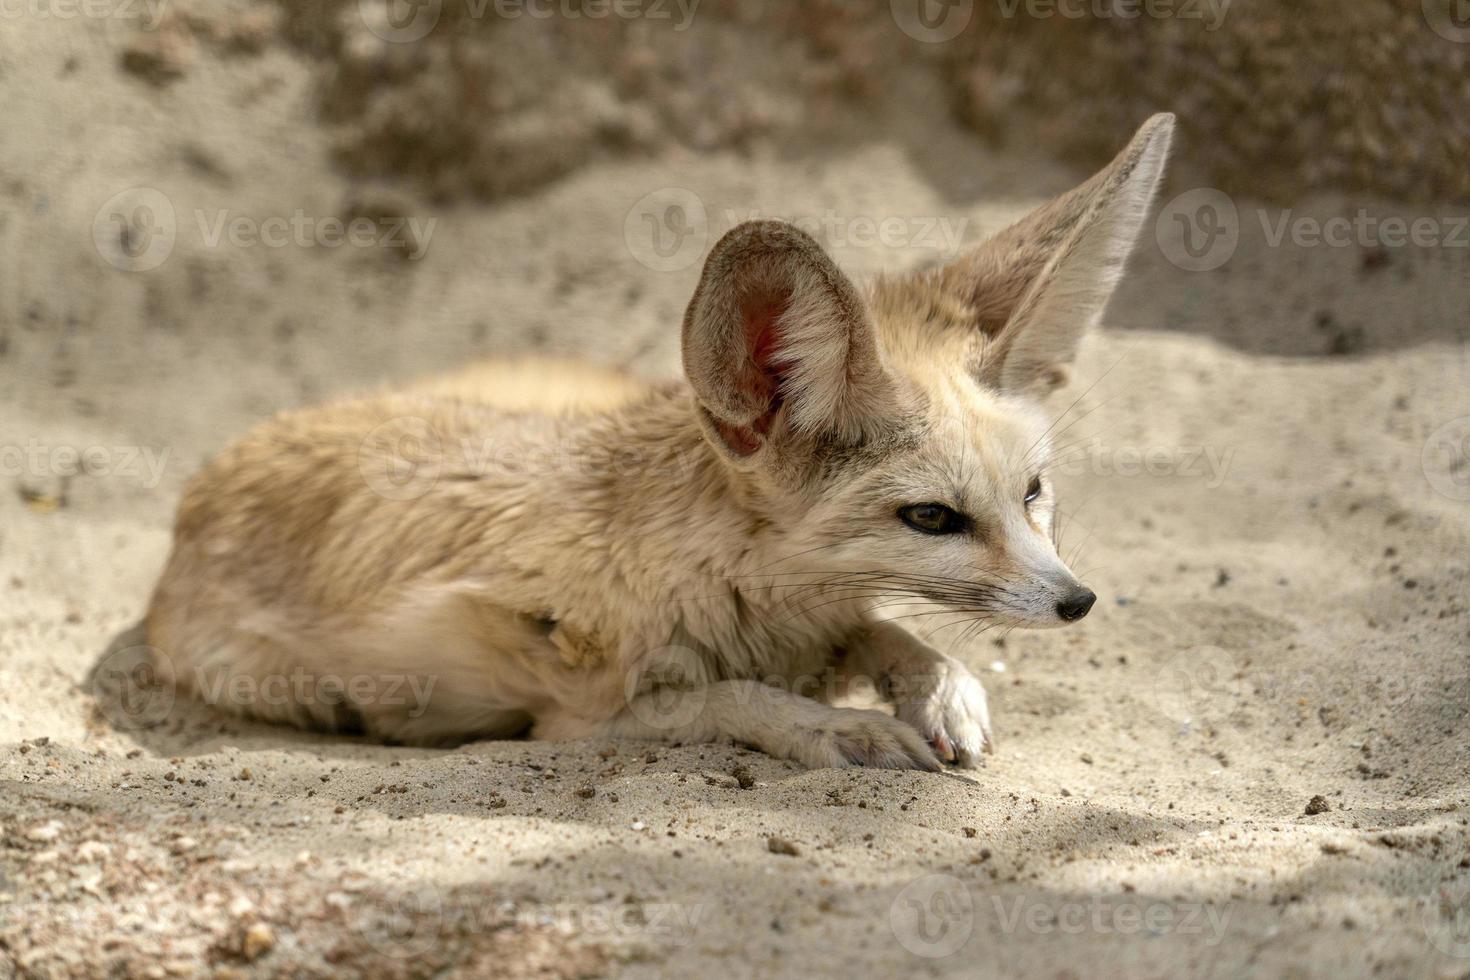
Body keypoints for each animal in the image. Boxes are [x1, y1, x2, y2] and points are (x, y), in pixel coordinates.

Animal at [143, 115, 1176, 769]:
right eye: (931, 517)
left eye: (1033, 492)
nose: (1078, 601)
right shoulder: (568, 720)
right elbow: (725, 698)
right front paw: (832, 728)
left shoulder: (819, 617)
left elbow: (889, 630)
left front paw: (943, 689)